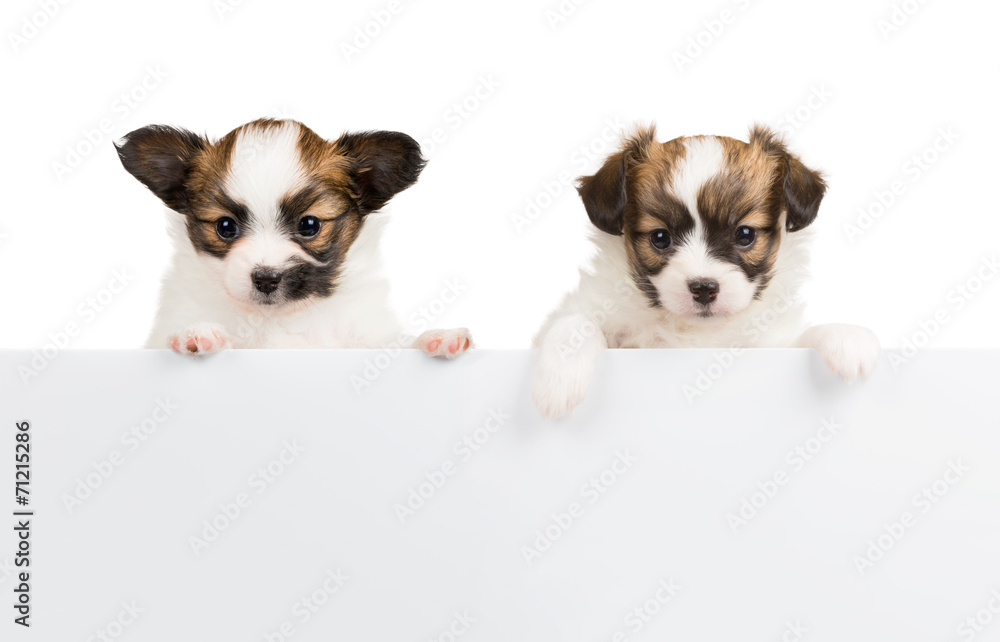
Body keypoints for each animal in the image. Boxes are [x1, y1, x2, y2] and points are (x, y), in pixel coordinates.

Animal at [115, 117, 474, 358]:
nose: (266, 278)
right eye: (226, 227)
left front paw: (436, 339)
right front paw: (196, 335)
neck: (276, 318)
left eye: (309, 225)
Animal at [532, 124, 876, 420]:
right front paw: (559, 381)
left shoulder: (772, 346)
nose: (704, 289)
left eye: (745, 234)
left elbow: (805, 337)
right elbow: (574, 323)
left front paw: (846, 339)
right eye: (660, 238)